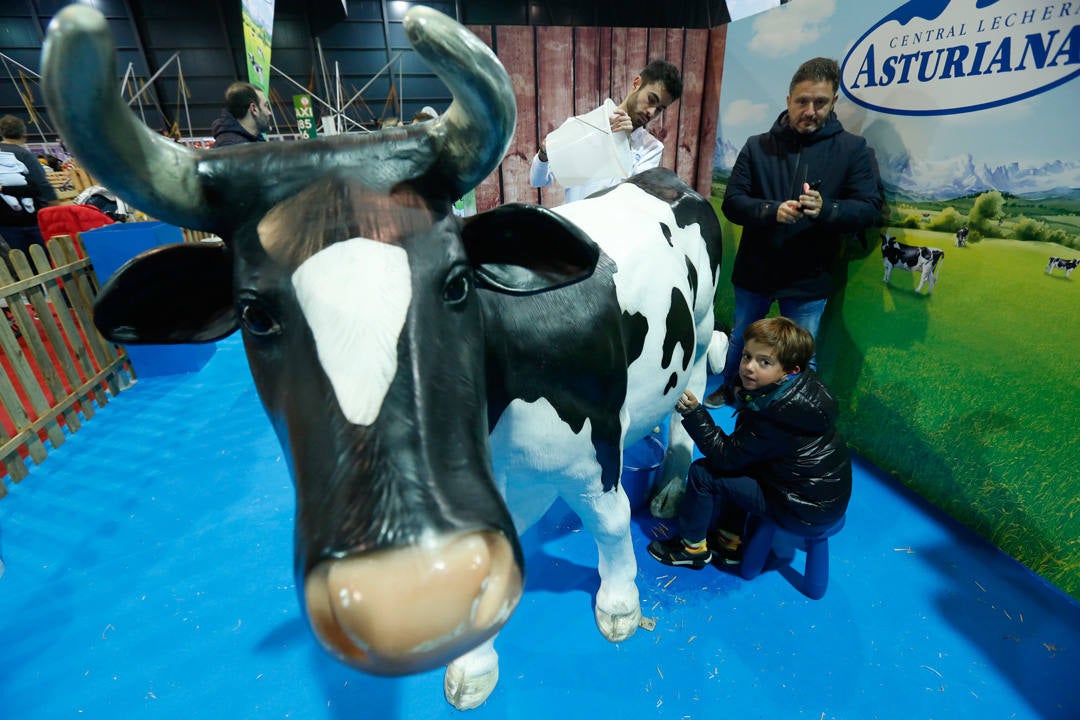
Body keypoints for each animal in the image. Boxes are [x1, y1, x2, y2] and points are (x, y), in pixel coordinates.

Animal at [42, 4, 721, 716]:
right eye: (254, 314)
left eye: (457, 282)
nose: (402, 588)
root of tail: (664, 177)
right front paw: (472, 665)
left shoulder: (593, 449)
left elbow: (611, 525)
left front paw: (619, 607)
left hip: (700, 333)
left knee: (690, 401)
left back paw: (672, 482)